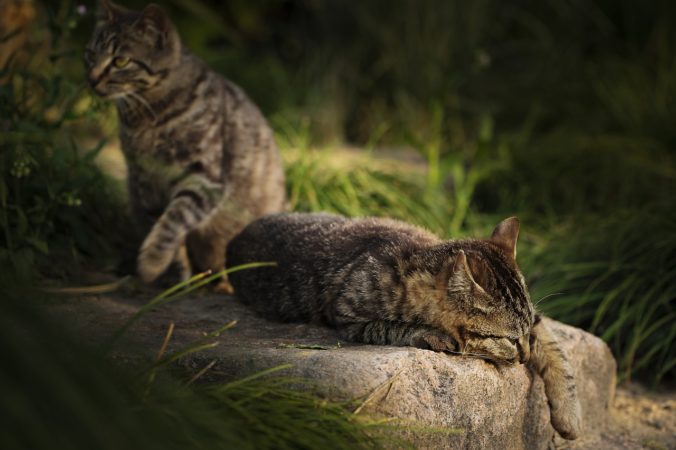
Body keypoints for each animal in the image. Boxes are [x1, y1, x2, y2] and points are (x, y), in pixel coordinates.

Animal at [227, 214, 580, 440]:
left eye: (526, 335)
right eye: (507, 339)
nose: (524, 357)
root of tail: (235, 238)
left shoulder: (538, 321)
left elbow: (559, 354)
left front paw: (569, 415)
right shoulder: (351, 318)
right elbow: (394, 327)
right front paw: (432, 334)